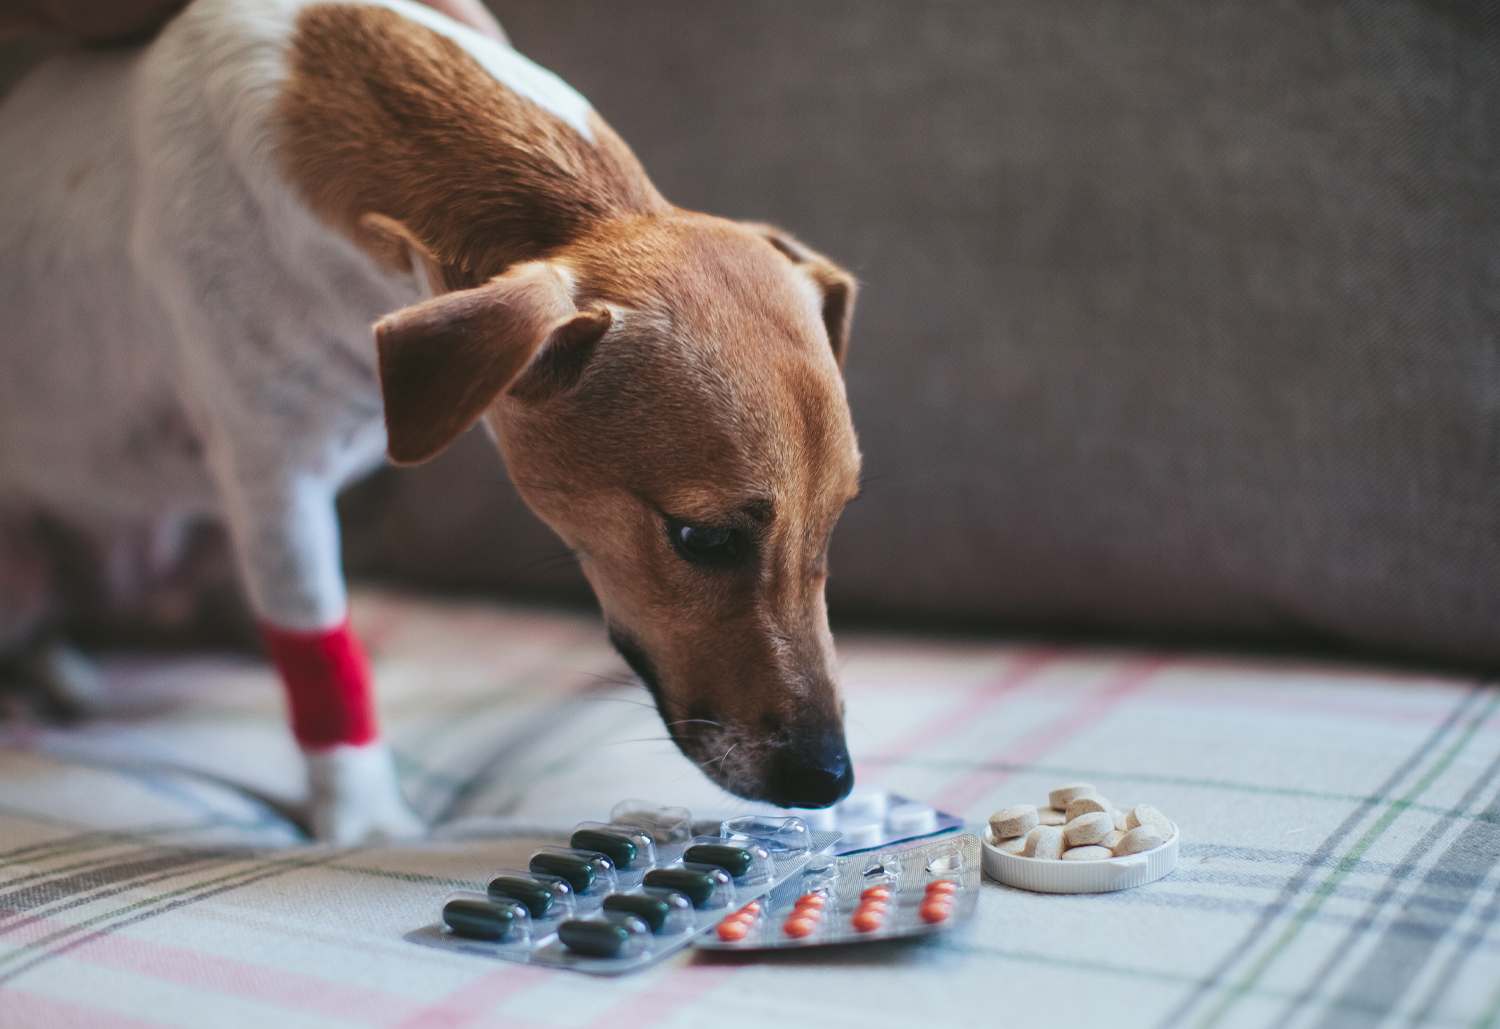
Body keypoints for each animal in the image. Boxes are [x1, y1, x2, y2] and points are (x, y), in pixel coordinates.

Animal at [0, 0, 864, 846]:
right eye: (703, 538)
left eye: (836, 521)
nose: (832, 781)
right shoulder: (277, 487)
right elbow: (320, 651)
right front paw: (367, 822)